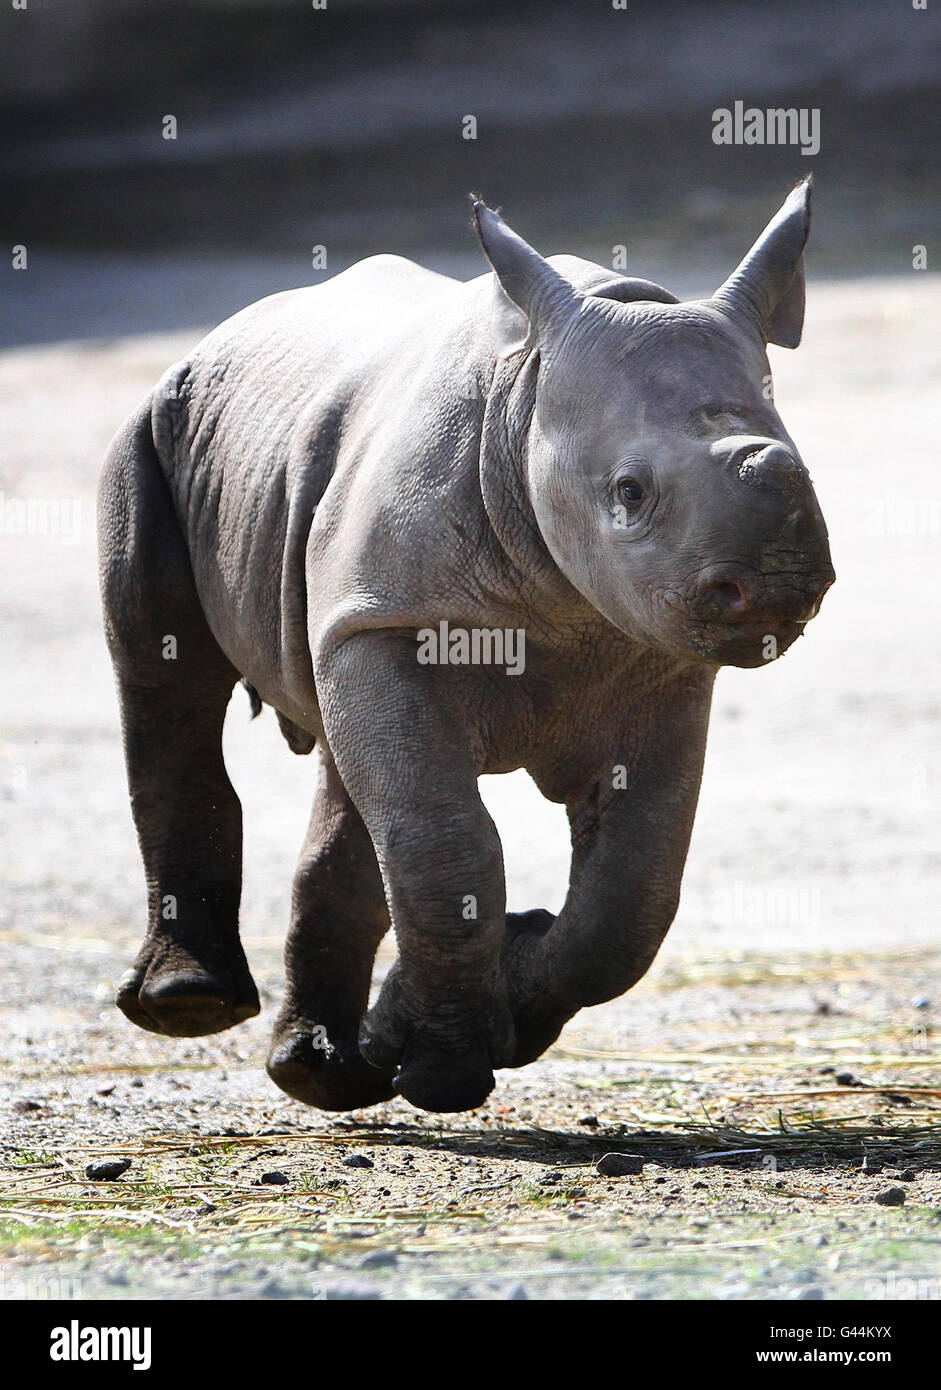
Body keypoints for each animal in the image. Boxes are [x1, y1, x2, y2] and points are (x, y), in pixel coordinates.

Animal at [98, 179, 834, 1114]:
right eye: (629, 494)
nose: (777, 588)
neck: (526, 407)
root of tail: (217, 333)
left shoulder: (654, 660)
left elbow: (631, 890)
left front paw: (475, 1018)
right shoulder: (388, 619)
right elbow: (447, 841)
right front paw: (440, 1072)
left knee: (348, 765)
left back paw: (324, 1075)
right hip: (156, 430)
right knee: (164, 676)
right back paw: (189, 1007)